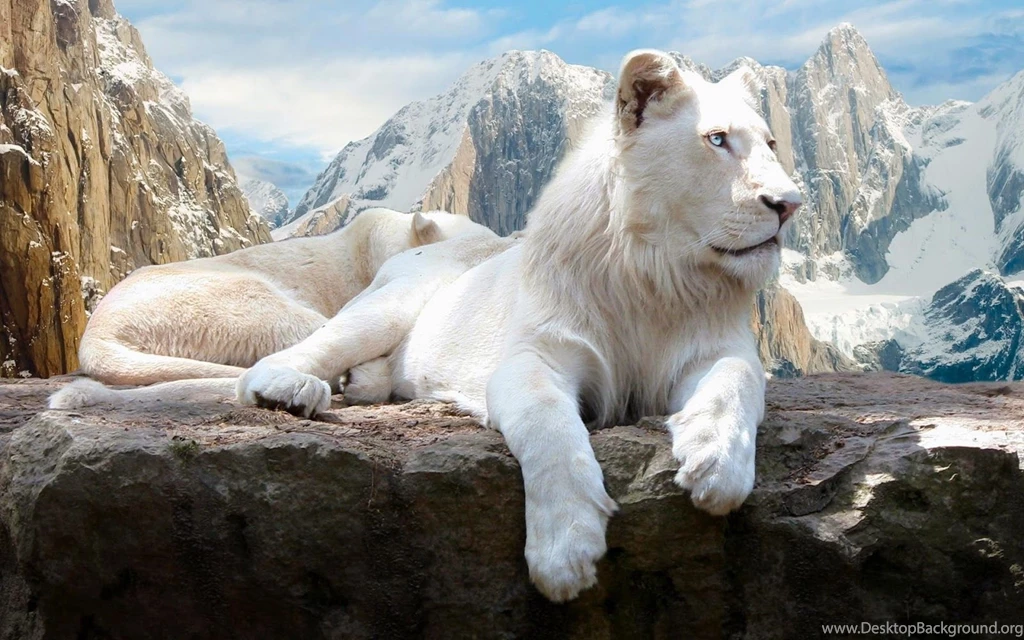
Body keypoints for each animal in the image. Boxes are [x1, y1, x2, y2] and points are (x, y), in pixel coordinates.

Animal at [229, 50, 802, 602]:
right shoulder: (536, 355)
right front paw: (565, 549)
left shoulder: (717, 349)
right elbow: (548, 425)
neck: (656, 273)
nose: (790, 205)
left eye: (772, 143)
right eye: (717, 139)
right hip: (390, 306)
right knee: (292, 355)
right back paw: (291, 389)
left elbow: (736, 382)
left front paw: (716, 462)